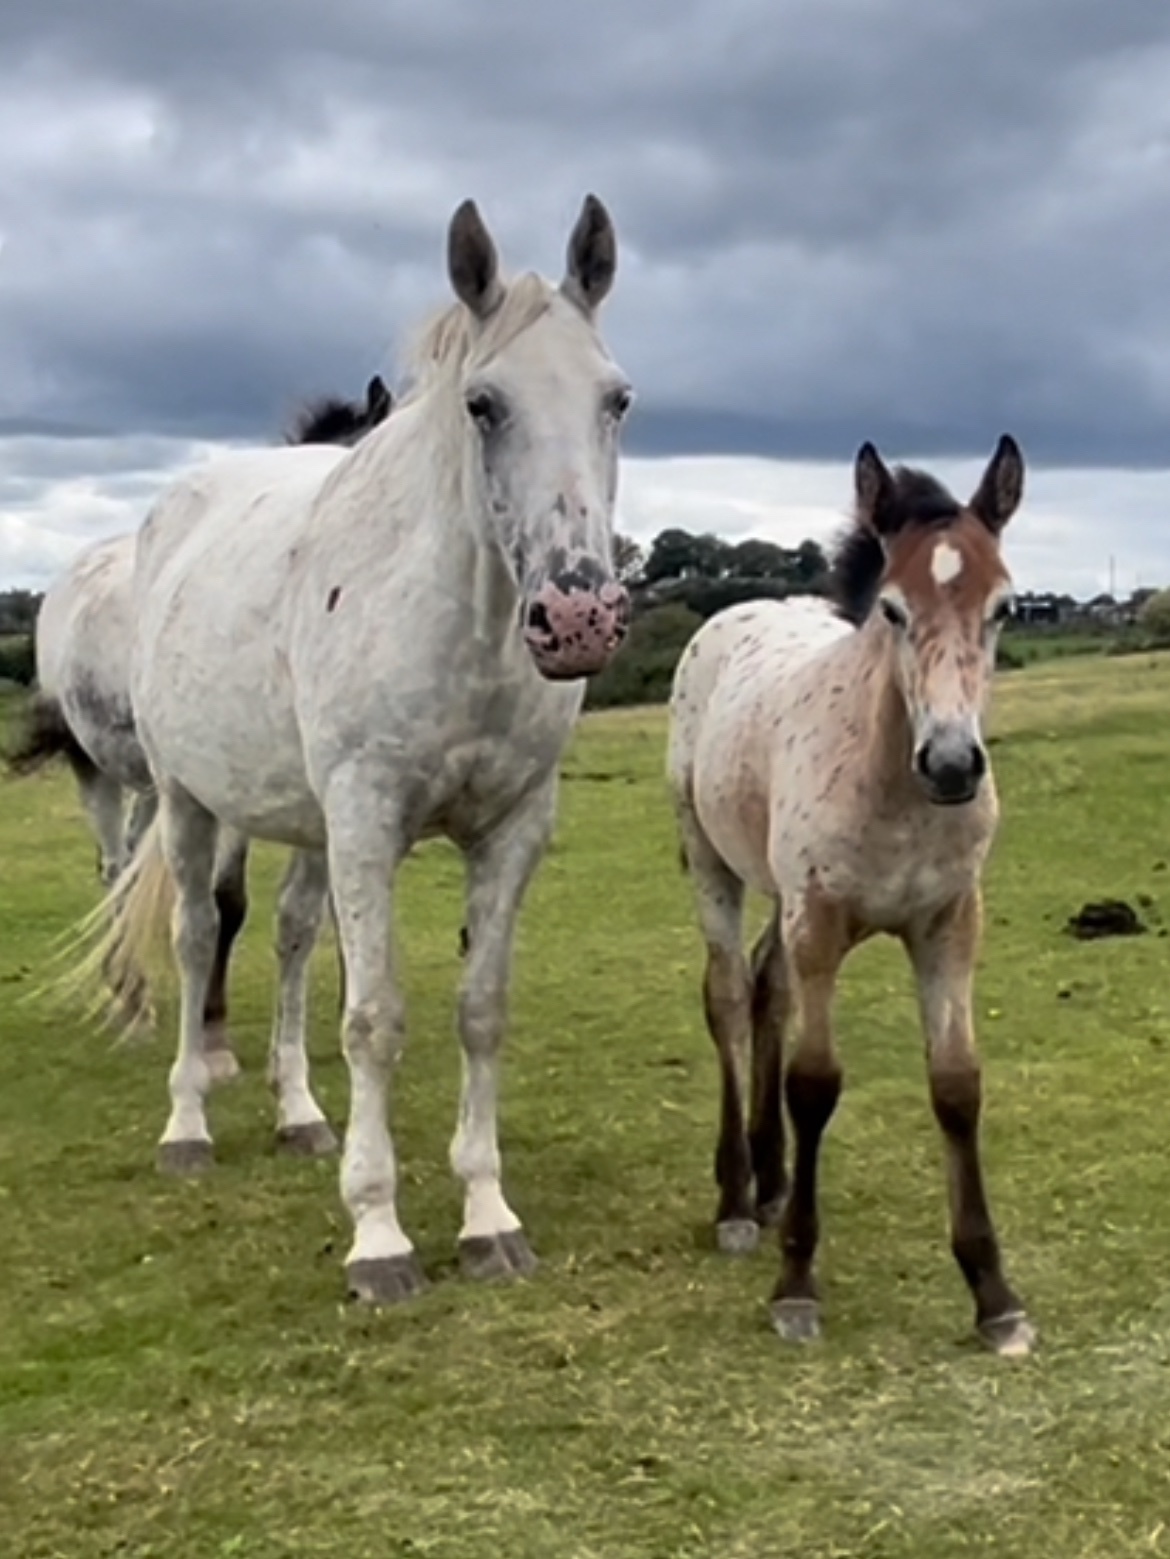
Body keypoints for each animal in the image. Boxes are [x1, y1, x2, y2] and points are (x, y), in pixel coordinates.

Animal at [10, 375, 391, 1067]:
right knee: (113, 868)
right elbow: (228, 899)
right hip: (96, 770)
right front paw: (212, 1032)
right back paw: (130, 1000)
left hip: (152, 785)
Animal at [71, 195, 632, 1304]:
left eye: (617, 400)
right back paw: (187, 1126)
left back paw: (298, 1114)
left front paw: (487, 1217)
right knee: (198, 936)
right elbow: (373, 1017)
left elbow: (479, 1009)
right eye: (484, 404)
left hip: (304, 825)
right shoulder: (368, 822)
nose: (578, 615)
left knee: (288, 942)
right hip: (188, 800)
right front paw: (379, 1236)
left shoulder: (512, 829)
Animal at [666, 436, 1034, 1358]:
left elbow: (957, 1084)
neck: (895, 787)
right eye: (894, 610)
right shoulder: (822, 923)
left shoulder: (950, 924)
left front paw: (994, 1294)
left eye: (1004, 607)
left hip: (782, 896)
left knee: (768, 986)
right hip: (714, 862)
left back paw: (769, 1178)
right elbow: (815, 1083)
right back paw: (737, 1200)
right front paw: (796, 1281)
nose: (952, 763)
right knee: (731, 994)